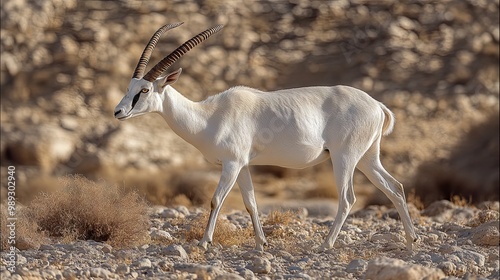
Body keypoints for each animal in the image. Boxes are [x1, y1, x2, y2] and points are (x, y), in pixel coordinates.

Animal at [113, 23, 418, 252]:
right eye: (130, 87)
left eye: (145, 90)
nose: (118, 111)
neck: (209, 116)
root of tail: (376, 105)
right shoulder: (244, 166)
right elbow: (251, 204)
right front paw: (261, 244)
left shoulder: (231, 164)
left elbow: (215, 200)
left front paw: (204, 242)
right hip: (367, 158)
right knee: (395, 187)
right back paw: (411, 241)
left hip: (345, 158)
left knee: (347, 199)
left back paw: (326, 245)